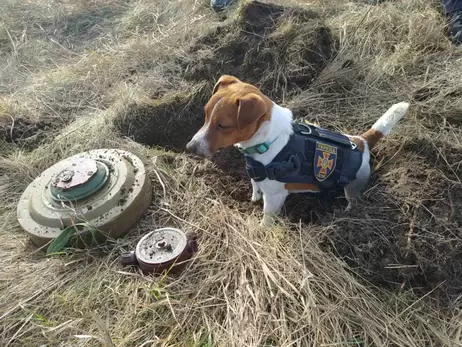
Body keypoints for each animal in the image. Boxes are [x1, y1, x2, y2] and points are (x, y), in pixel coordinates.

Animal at [186, 74, 410, 226]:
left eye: (223, 125)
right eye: (205, 115)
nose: (189, 147)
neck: (268, 140)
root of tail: (362, 141)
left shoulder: (275, 197)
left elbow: (267, 217)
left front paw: (261, 229)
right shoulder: (256, 175)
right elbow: (255, 186)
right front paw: (253, 198)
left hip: (353, 187)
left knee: (353, 201)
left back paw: (346, 214)